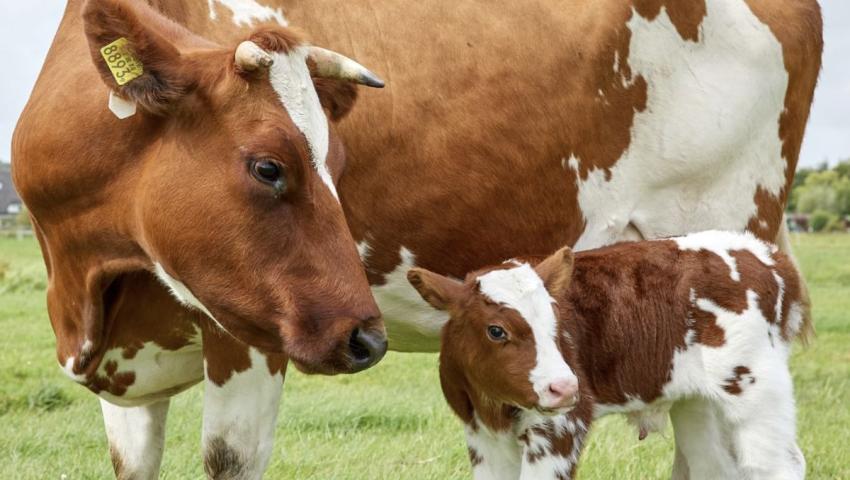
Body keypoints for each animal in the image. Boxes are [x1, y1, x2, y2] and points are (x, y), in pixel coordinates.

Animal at [408, 231, 810, 479]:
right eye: (496, 330)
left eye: (556, 320)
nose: (564, 387)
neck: (495, 407)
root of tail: (766, 254)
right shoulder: (481, 435)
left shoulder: (560, 428)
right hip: (698, 401)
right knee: (713, 466)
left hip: (755, 387)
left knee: (777, 466)